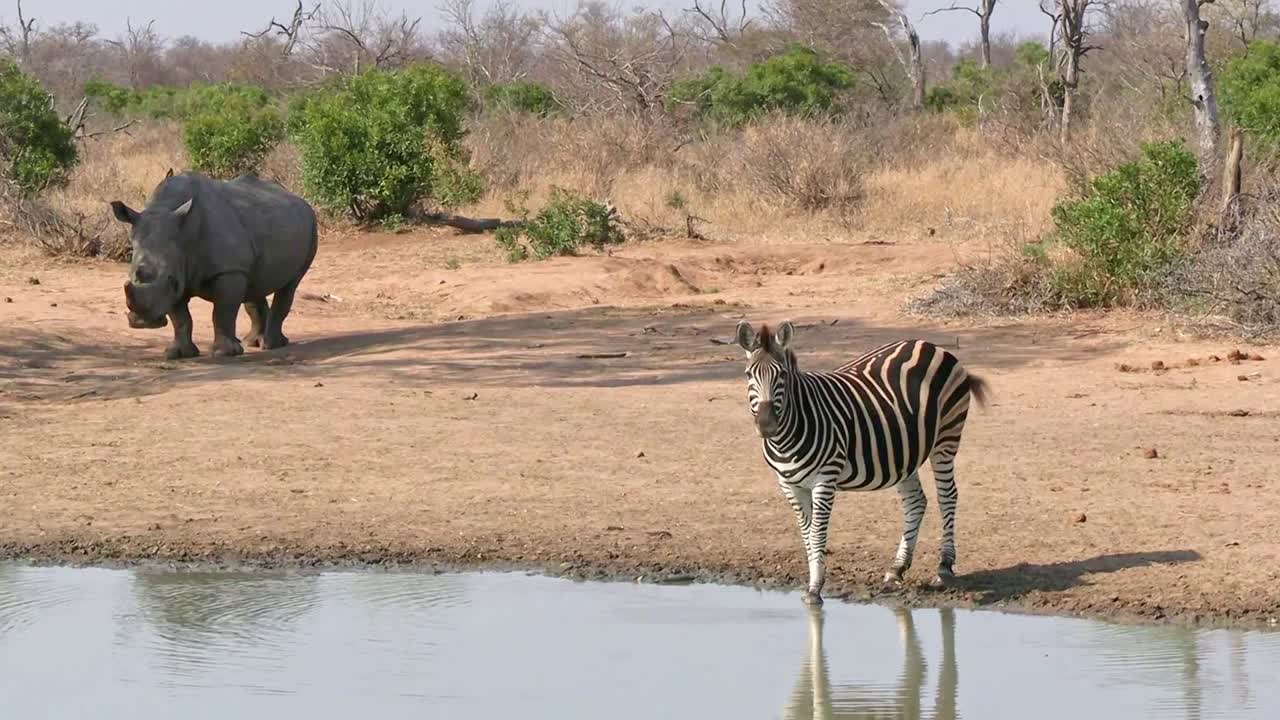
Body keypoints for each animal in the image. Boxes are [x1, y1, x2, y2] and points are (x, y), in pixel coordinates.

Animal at [735, 319, 988, 606]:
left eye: (783, 376)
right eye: (748, 375)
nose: (766, 425)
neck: (787, 436)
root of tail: (930, 345)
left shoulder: (825, 478)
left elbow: (817, 533)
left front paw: (815, 588)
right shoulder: (788, 484)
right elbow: (806, 535)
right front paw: (813, 582)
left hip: (946, 438)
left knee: (947, 496)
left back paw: (944, 566)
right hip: (904, 452)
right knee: (916, 501)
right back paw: (897, 568)